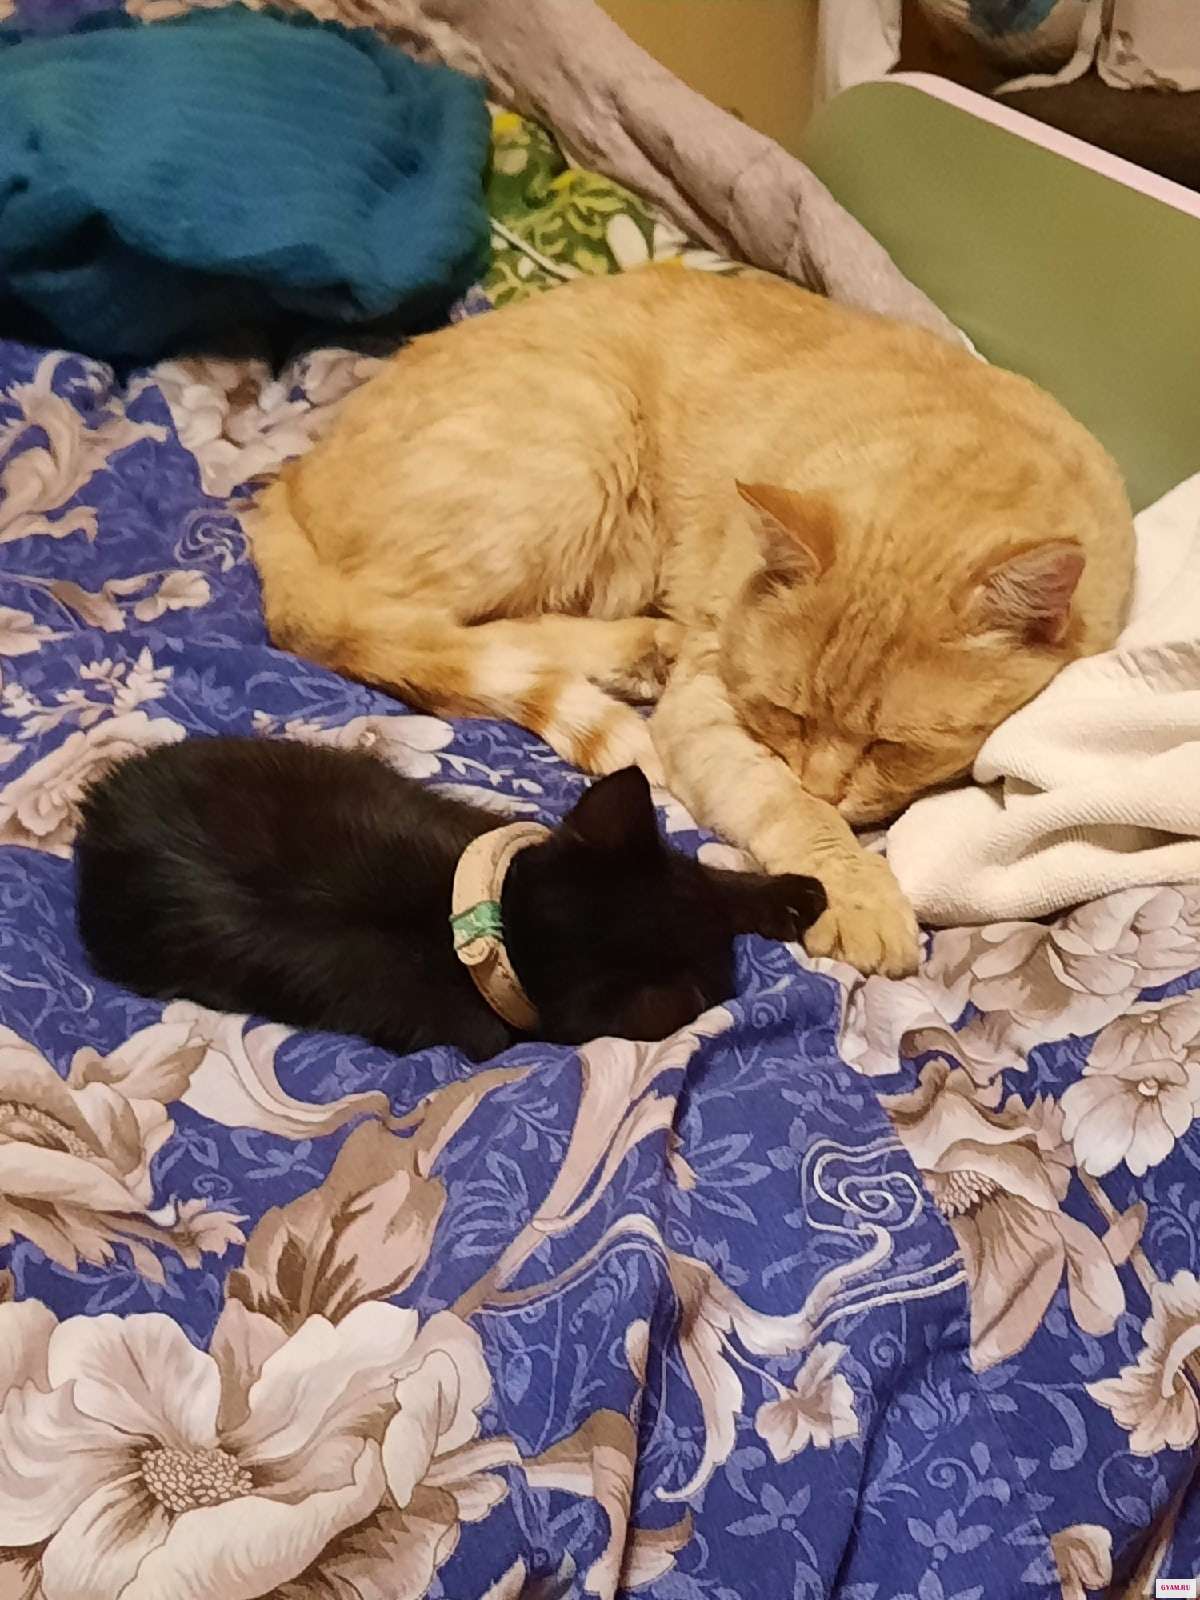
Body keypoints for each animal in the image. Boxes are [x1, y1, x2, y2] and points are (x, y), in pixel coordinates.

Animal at [248, 264, 1135, 978]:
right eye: (786, 713)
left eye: (892, 747)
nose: (825, 783)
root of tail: (285, 483)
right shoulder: (710, 708)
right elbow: (786, 807)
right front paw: (855, 888)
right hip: (577, 443)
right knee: (411, 627)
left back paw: (640, 648)